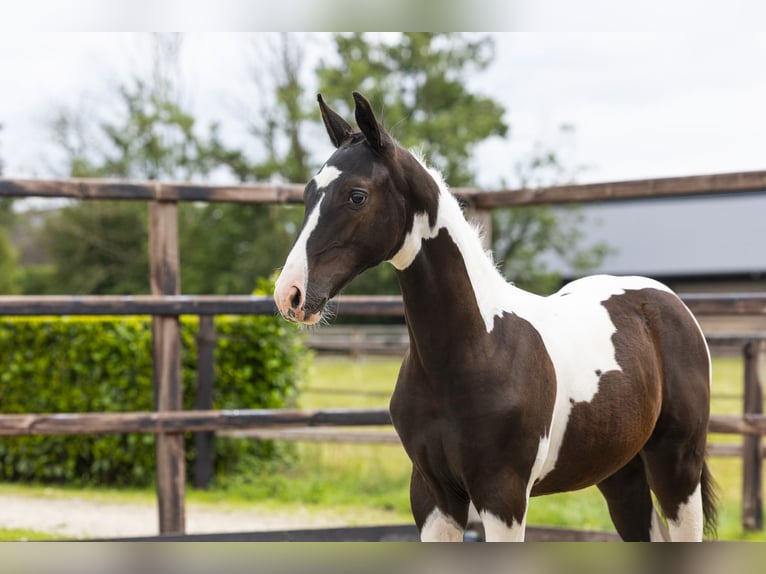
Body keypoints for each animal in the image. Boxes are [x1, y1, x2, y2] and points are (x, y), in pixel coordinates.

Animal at [274, 91, 717, 542]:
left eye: (357, 195)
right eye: (308, 193)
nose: (290, 294)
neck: (476, 348)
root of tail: (668, 302)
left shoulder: (503, 496)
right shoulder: (433, 497)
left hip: (677, 466)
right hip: (619, 473)